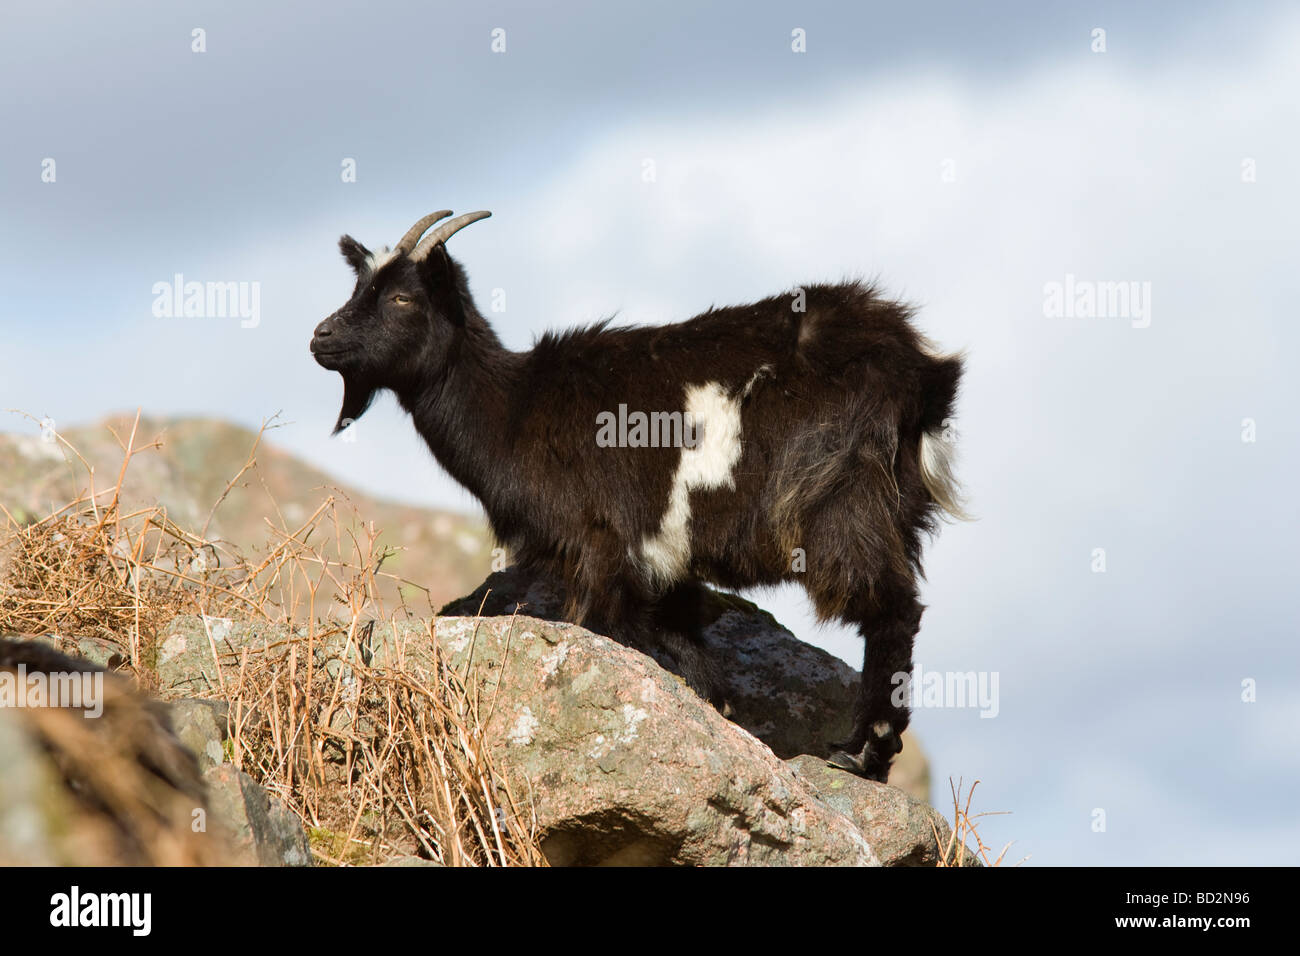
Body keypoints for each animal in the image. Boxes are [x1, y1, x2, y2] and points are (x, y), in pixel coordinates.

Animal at [312, 208, 967, 780]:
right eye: (359, 286)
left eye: (403, 297)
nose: (321, 336)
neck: (514, 410)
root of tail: (920, 373)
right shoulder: (663, 564)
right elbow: (693, 662)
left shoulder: (601, 547)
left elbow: (605, 631)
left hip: (840, 504)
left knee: (893, 609)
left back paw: (860, 754)